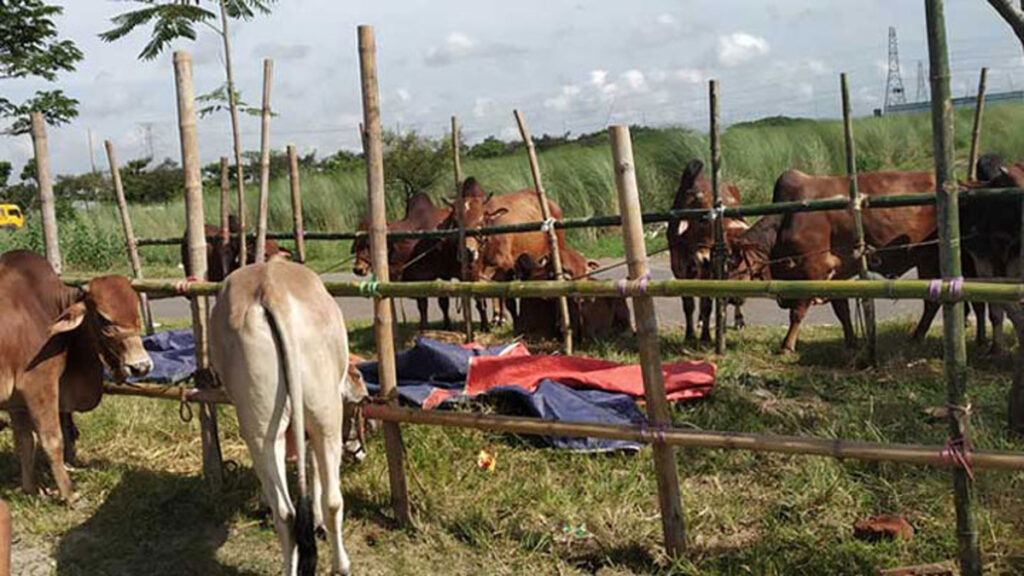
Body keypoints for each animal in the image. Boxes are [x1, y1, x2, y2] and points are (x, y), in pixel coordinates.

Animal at [0, 250, 151, 498]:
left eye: (136, 312)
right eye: (104, 319)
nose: (141, 366)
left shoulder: (16, 402)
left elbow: (24, 441)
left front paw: (30, 489)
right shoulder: (38, 385)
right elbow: (52, 441)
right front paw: (69, 494)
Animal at [209, 261, 366, 573]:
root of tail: (271, 288)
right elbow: (314, 471)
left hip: (260, 429)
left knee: (286, 514)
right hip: (325, 417)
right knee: (332, 501)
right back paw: (341, 564)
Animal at [667, 157, 749, 340]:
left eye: (722, 224)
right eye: (702, 220)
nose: (704, 258)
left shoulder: (709, 269)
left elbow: (707, 303)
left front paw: (705, 336)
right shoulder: (679, 267)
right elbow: (689, 303)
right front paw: (690, 334)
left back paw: (738, 320)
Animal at [733, 168, 937, 352]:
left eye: (734, 267)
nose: (730, 298)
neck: (785, 221)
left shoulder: (812, 271)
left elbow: (797, 313)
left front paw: (787, 346)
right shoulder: (834, 276)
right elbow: (842, 310)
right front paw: (851, 342)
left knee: (932, 302)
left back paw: (917, 337)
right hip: (925, 261)